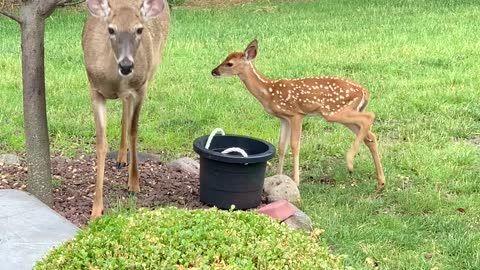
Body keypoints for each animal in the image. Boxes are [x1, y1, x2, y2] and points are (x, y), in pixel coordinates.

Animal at [83, 0, 171, 219]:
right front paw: (96, 210)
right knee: (124, 109)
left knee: (127, 112)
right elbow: (101, 143)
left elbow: (134, 130)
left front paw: (134, 183)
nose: (126, 65)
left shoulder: (141, 87)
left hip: (153, 66)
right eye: (111, 29)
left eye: (139, 29)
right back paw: (121, 158)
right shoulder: (94, 90)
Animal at [212, 40, 384, 192]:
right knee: (370, 136)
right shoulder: (284, 118)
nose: (213, 71)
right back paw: (380, 182)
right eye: (225, 58)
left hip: (334, 111)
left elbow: (295, 145)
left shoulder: (296, 114)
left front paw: (296, 180)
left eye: (229, 63)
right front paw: (278, 176)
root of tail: (364, 91)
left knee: (369, 117)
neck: (268, 91)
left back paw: (350, 162)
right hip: (346, 112)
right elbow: (282, 146)